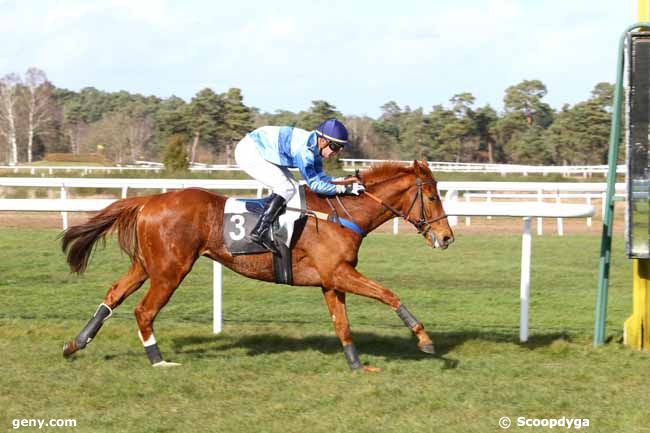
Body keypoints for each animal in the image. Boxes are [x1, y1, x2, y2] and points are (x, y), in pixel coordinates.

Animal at [63, 160, 454, 370]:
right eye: (431, 195)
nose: (447, 237)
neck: (341, 214)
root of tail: (148, 201)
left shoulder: (332, 279)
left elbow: (342, 324)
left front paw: (358, 364)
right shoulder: (340, 272)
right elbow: (388, 294)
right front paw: (425, 340)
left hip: (149, 265)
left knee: (114, 294)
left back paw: (75, 344)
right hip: (171, 270)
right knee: (144, 311)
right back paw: (158, 359)